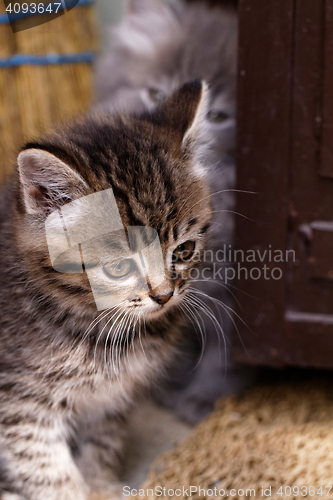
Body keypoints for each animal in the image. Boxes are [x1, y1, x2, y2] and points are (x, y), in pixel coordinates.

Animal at [0, 82, 210, 500]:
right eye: (118, 268)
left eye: (183, 250)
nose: (164, 295)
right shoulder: (18, 404)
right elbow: (45, 470)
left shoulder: (110, 399)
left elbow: (102, 442)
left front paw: (101, 485)